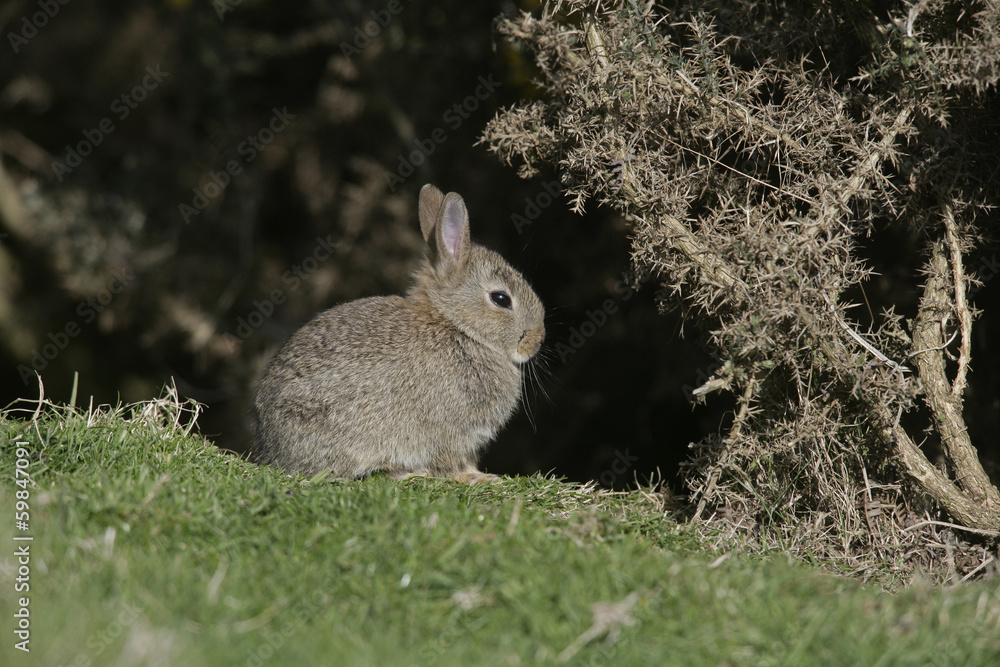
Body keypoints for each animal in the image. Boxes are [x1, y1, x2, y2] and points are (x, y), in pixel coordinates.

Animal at [251, 183, 545, 484]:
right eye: (501, 299)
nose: (537, 341)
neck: (458, 328)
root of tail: (271, 443)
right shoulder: (451, 431)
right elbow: (451, 461)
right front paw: (477, 477)